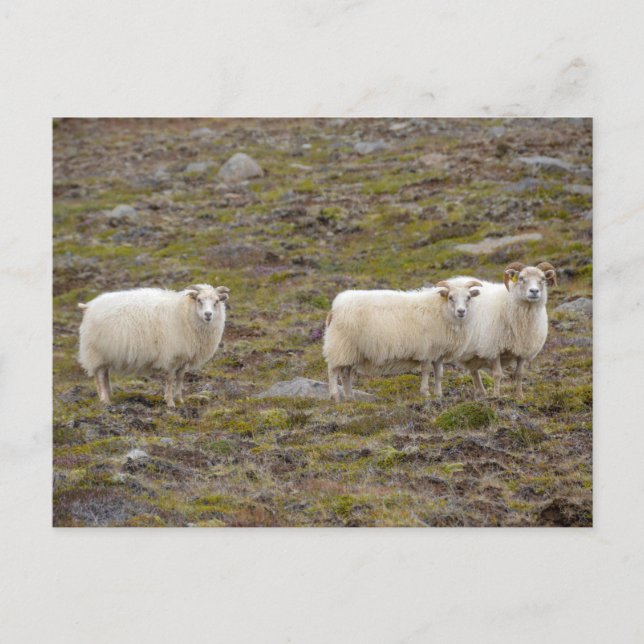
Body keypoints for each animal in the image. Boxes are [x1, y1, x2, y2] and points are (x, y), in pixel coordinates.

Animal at [78, 283, 230, 407]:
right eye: (199, 300)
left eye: (216, 301)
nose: (208, 315)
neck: (184, 312)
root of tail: (89, 306)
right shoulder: (171, 356)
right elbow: (170, 379)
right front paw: (170, 402)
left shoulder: (184, 357)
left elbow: (180, 378)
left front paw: (180, 400)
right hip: (96, 351)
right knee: (100, 376)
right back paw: (105, 400)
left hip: (106, 352)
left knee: (104, 374)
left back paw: (108, 396)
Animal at [322, 280, 482, 402]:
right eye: (450, 297)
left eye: (468, 297)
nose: (461, 311)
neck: (441, 309)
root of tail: (334, 308)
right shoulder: (426, 349)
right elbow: (426, 371)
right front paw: (425, 392)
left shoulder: (438, 352)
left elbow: (439, 373)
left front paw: (438, 394)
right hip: (340, 345)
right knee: (332, 370)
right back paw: (335, 397)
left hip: (350, 350)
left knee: (345, 373)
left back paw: (350, 397)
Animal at [448, 262, 557, 398]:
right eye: (521, 278)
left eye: (542, 279)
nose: (534, 291)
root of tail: (454, 279)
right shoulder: (493, 348)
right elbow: (497, 374)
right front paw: (496, 396)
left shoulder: (523, 349)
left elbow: (519, 374)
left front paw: (519, 396)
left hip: (471, 351)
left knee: (473, 370)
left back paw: (482, 392)